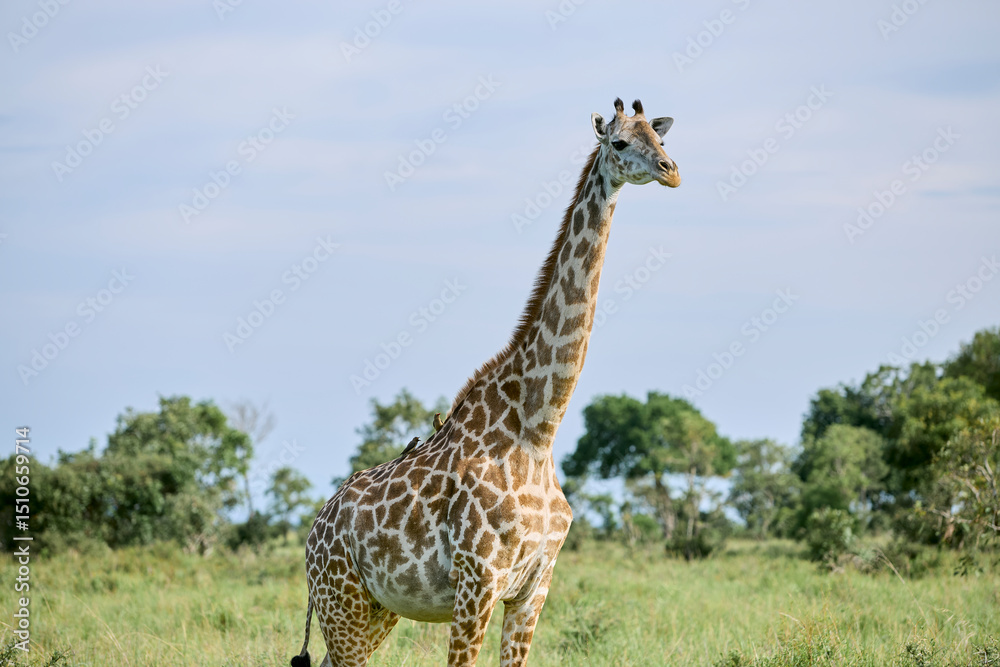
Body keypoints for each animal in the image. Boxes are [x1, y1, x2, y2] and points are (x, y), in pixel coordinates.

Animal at [293, 97, 680, 667]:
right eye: (620, 142)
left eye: (660, 137)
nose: (671, 171)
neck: (538, 429)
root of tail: (314, 532)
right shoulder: (477, 584)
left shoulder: (533, 588)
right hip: (341, 602)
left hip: (374, 609)